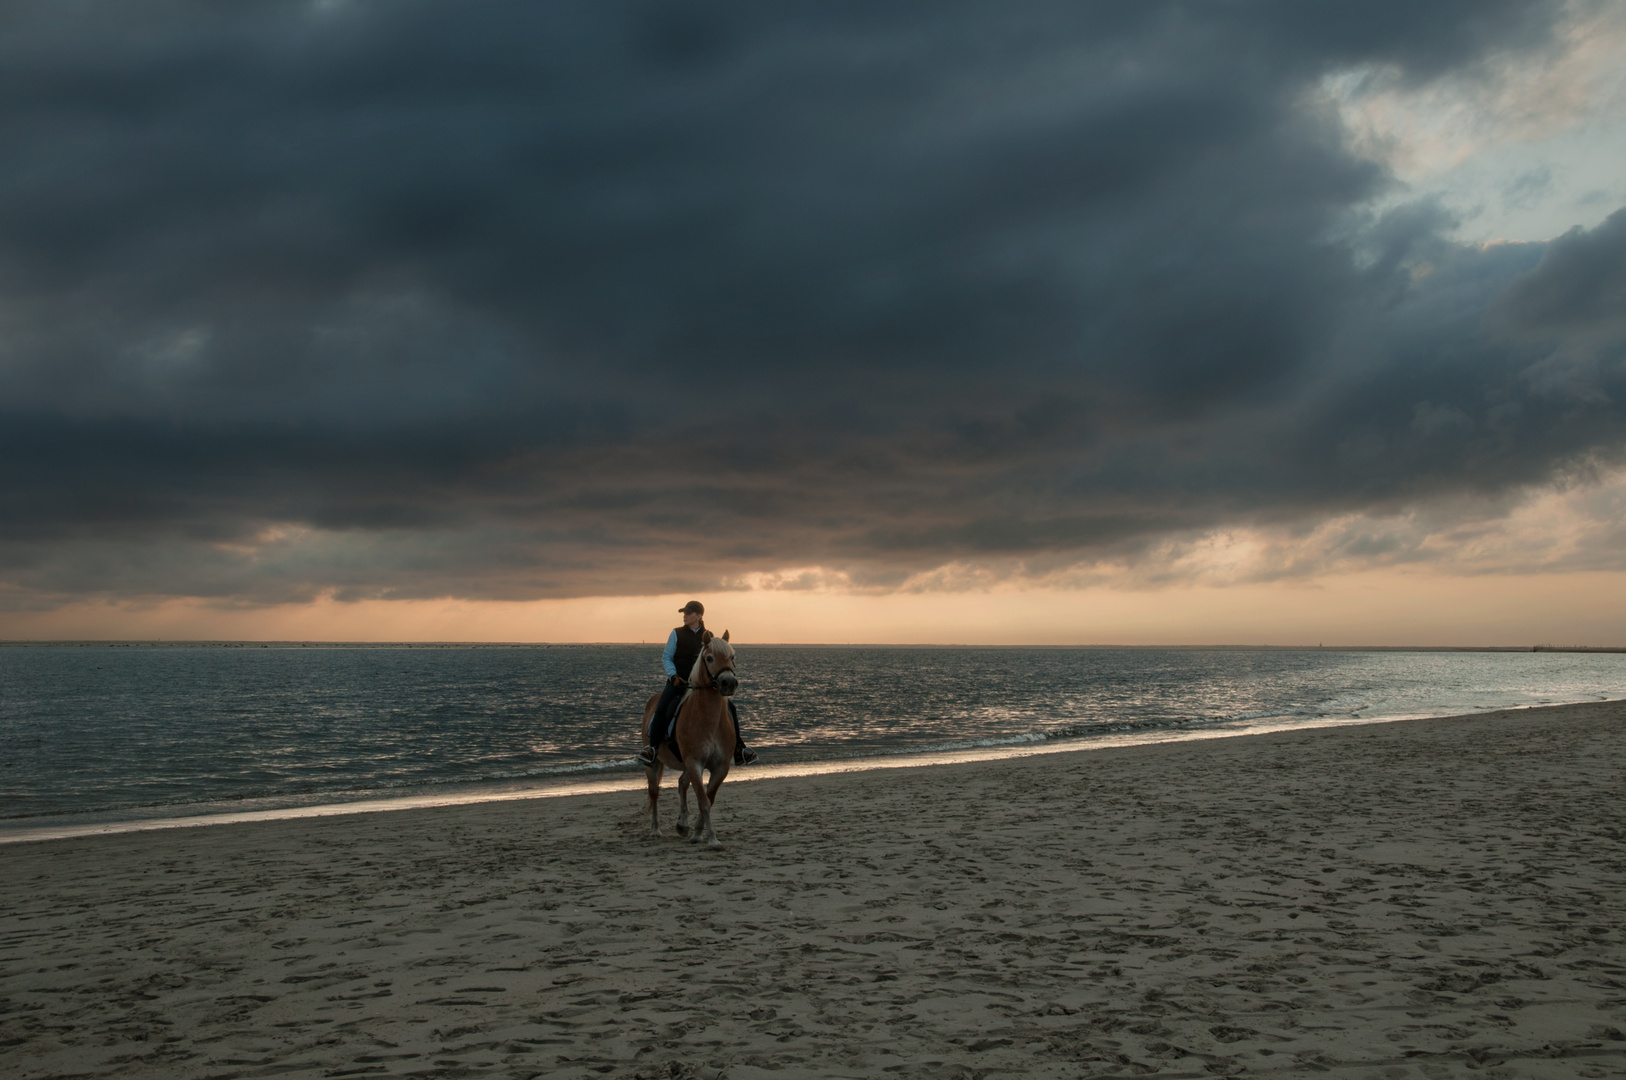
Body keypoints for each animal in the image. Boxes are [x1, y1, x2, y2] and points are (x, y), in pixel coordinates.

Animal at [640, 627, 744, 845]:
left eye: (732, 657)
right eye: (710, 658)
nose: (728, 683)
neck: (709, 720)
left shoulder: (720, 767)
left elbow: (708, 799)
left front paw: (697, 832)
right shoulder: (694, 762)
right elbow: (703, 801)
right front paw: (711, 838)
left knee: (681, 785)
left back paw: (683, 824)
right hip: (654, 762)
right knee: (654, 792)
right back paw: (655, 830)